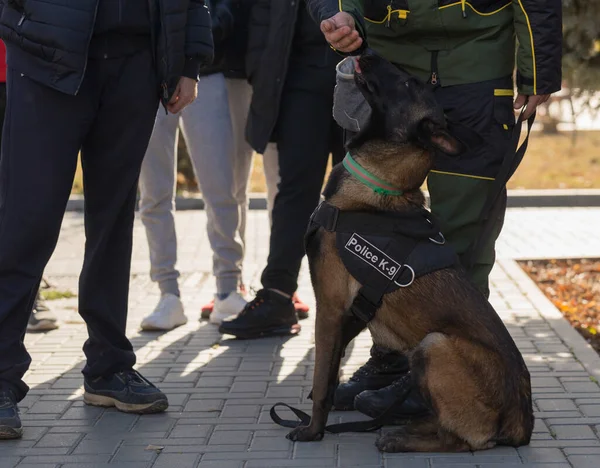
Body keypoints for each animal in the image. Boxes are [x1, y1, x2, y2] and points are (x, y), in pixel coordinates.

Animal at [288, 51, 536, 454]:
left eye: (408, 83)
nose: (368, 51)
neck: (379, 184)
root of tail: (522, 423)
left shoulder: (330, 306)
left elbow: (323, 378)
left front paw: (312, 429)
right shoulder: (352, 312)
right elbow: (332, 370)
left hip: (434, 345)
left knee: (460, 439)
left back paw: (400, 437)